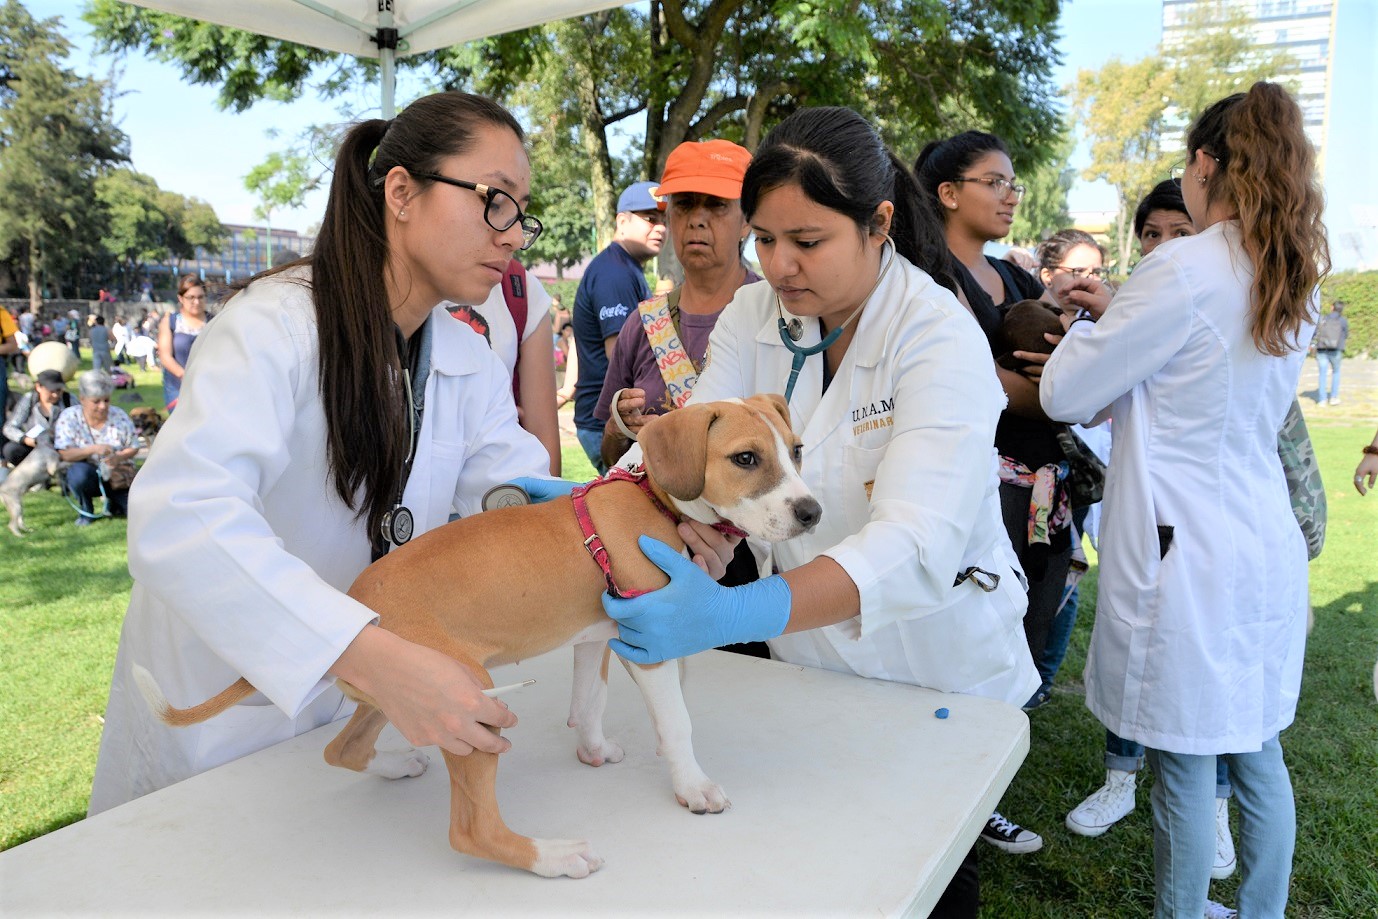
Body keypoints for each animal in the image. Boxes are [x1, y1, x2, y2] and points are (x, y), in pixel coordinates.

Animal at [131, 394, 815, 876]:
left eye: (797, 451)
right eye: (746, 459)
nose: (812, 512)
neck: (654, 502)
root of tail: (350, 605)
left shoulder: (598, 634)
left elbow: (588, 701)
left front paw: (592, 749)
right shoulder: (648, 645)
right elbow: (675, 723)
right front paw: (693, 788)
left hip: (397, 687)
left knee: (342, 749)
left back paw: (394, 765)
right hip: (465, 697)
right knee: (470, 832)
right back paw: (553, 856)